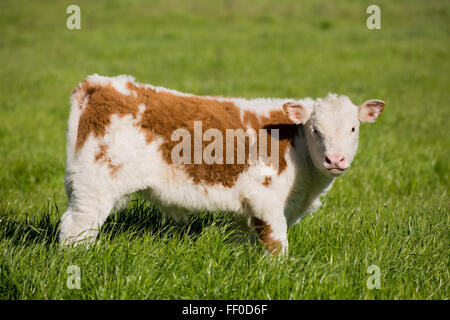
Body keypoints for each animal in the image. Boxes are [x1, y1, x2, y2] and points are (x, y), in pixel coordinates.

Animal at [58, 74, 384, 254]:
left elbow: (243, 241)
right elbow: (278, 245)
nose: (335, 159)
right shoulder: (266, 200)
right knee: (76, 229)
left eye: (353, 128)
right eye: (316, 129)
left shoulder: (245, 210)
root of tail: (100, 84)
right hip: (94, 186)